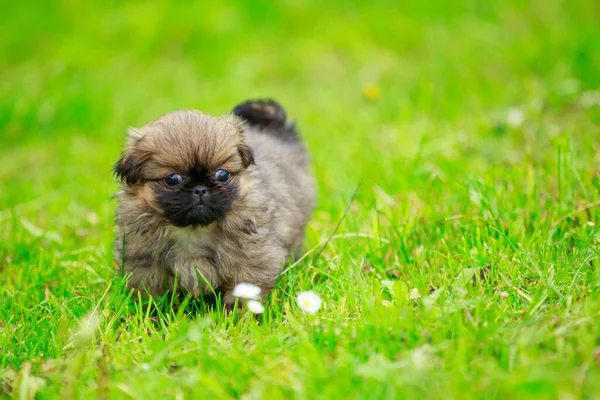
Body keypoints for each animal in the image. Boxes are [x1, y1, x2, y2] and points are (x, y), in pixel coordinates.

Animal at [114, 99, 316, 306]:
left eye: (223, 175)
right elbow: (150, 295)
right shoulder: (145, 265)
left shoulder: (251, 261)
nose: (200, 189)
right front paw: (154, 312)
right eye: (172, 179)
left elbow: (243, 294)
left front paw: (238, 314)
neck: (193, 230)